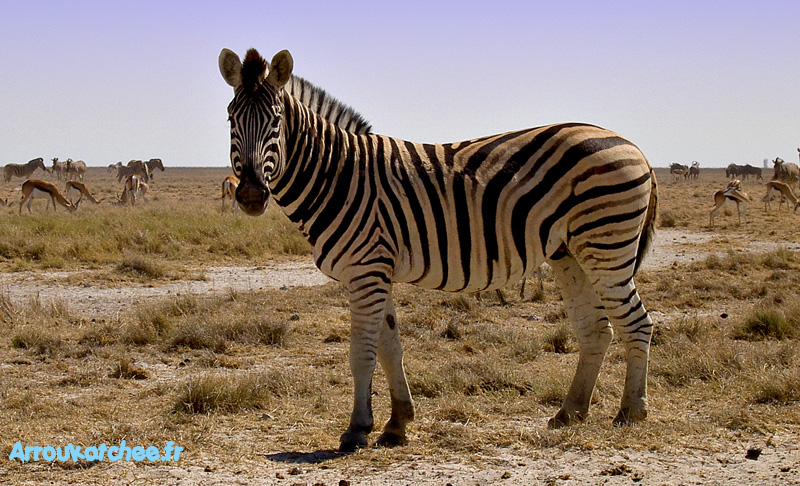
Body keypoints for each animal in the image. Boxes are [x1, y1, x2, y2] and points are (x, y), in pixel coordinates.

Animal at [217, 47, 656, 450]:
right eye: (231, 118)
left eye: (276, 121)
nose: (252, 195)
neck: (336, 174)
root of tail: (635, 147)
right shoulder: (378, 270)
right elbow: (390, 348)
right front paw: (396, 422)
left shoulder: (365, 270)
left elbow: (362, 353)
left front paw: (357, 428)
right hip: (571, 253)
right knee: (596, 329)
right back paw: (570, 412)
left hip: (608, 245)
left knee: (636, 323)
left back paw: (630, 412)